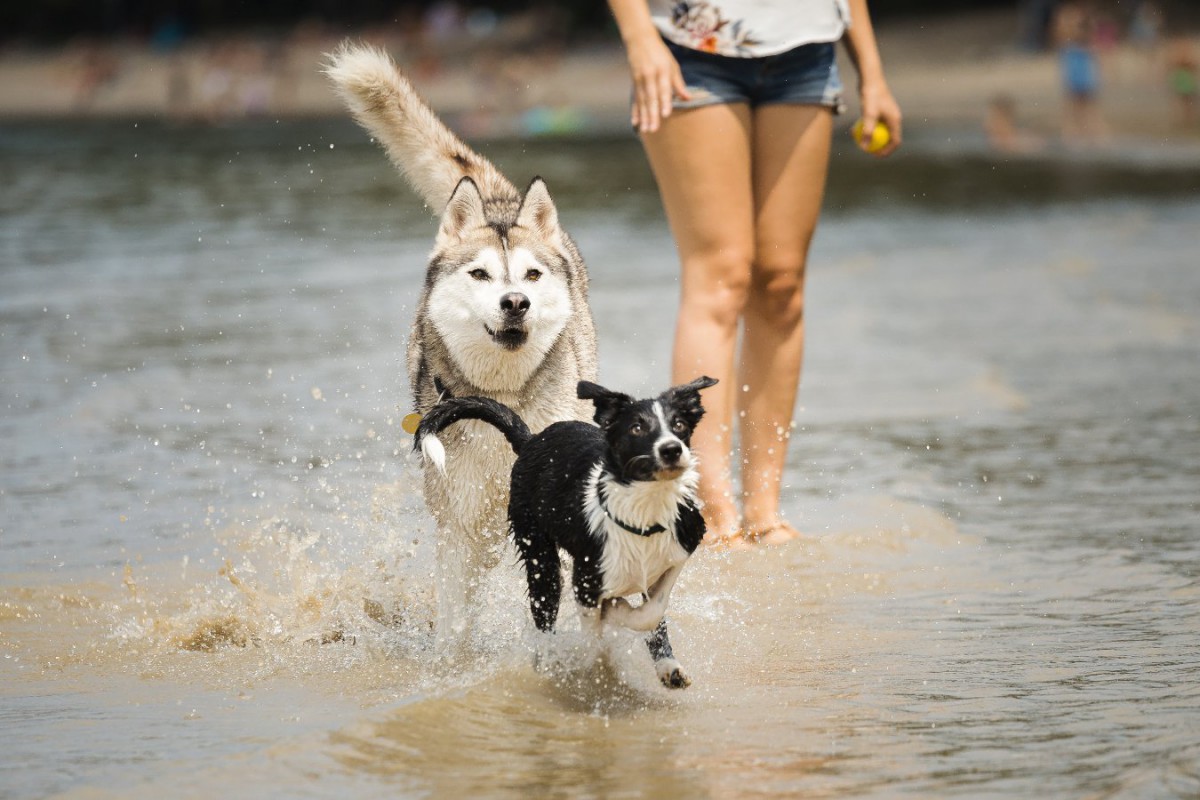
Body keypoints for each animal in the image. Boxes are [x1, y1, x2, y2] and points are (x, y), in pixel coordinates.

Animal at [321, 45, 597, 642]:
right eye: (480, 275)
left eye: (532, 275)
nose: (516, 302)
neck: (503, 401)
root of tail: (498, 203)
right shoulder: (460, 525)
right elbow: (454, 623)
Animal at [415, 376, 710, 690]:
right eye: (637, 428)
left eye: (679, 425)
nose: (672, 449)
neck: (644, 513)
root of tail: (532, 440)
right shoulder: (585, 580)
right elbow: (597, 632)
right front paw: (600, 644)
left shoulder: (683, 546)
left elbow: (653, 610)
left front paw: (623, 616)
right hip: (541, 560)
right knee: (545, 614)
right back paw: (547, 661)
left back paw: (669, 668)